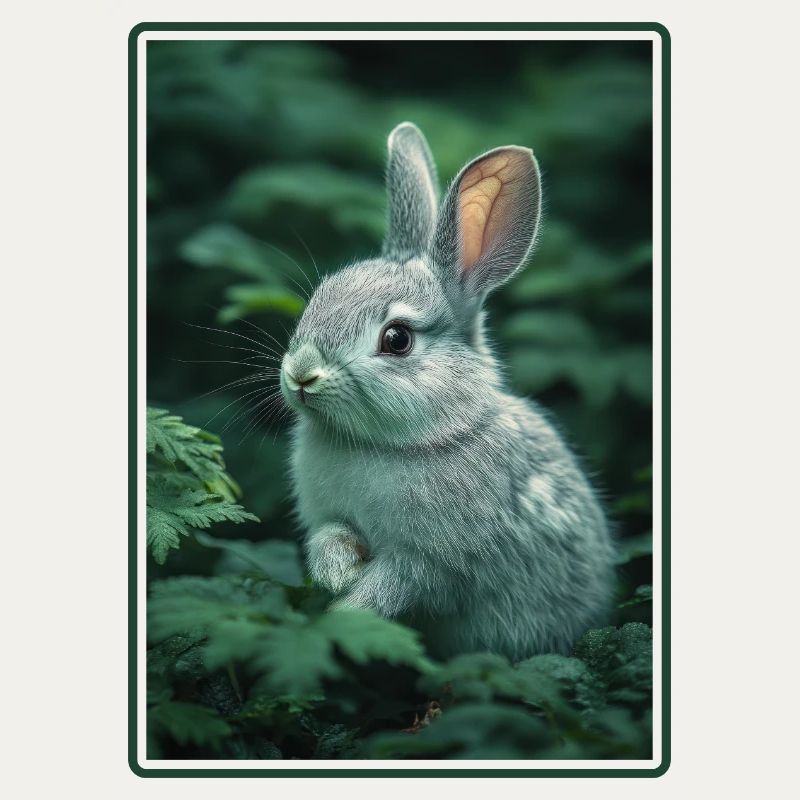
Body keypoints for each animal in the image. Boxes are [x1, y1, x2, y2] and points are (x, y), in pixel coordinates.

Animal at [279, 122, 615, 661]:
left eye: (397, 339)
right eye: (320, 297)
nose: (302, 374)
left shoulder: (431, 563)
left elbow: (393, 586)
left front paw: (344, 614)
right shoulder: (329, 519)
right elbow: (329, 538)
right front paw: (340, 572)